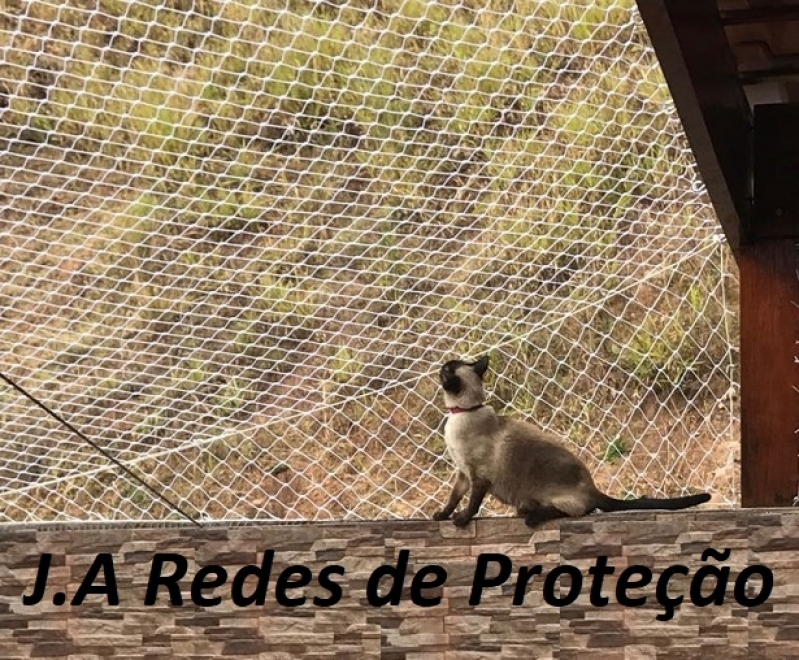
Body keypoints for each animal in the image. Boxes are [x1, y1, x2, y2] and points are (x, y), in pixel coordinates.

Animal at [438, 354, 712, 528]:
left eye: (448, 370)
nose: (440, 366)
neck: (463, 413)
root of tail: (593, 487)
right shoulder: (463, 474)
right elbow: (453, 498)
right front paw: (441, 515)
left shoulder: (479, 477)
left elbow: (472, 504)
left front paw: (461, 520)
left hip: (554, 496)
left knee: (579, 510)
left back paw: (533, 516)